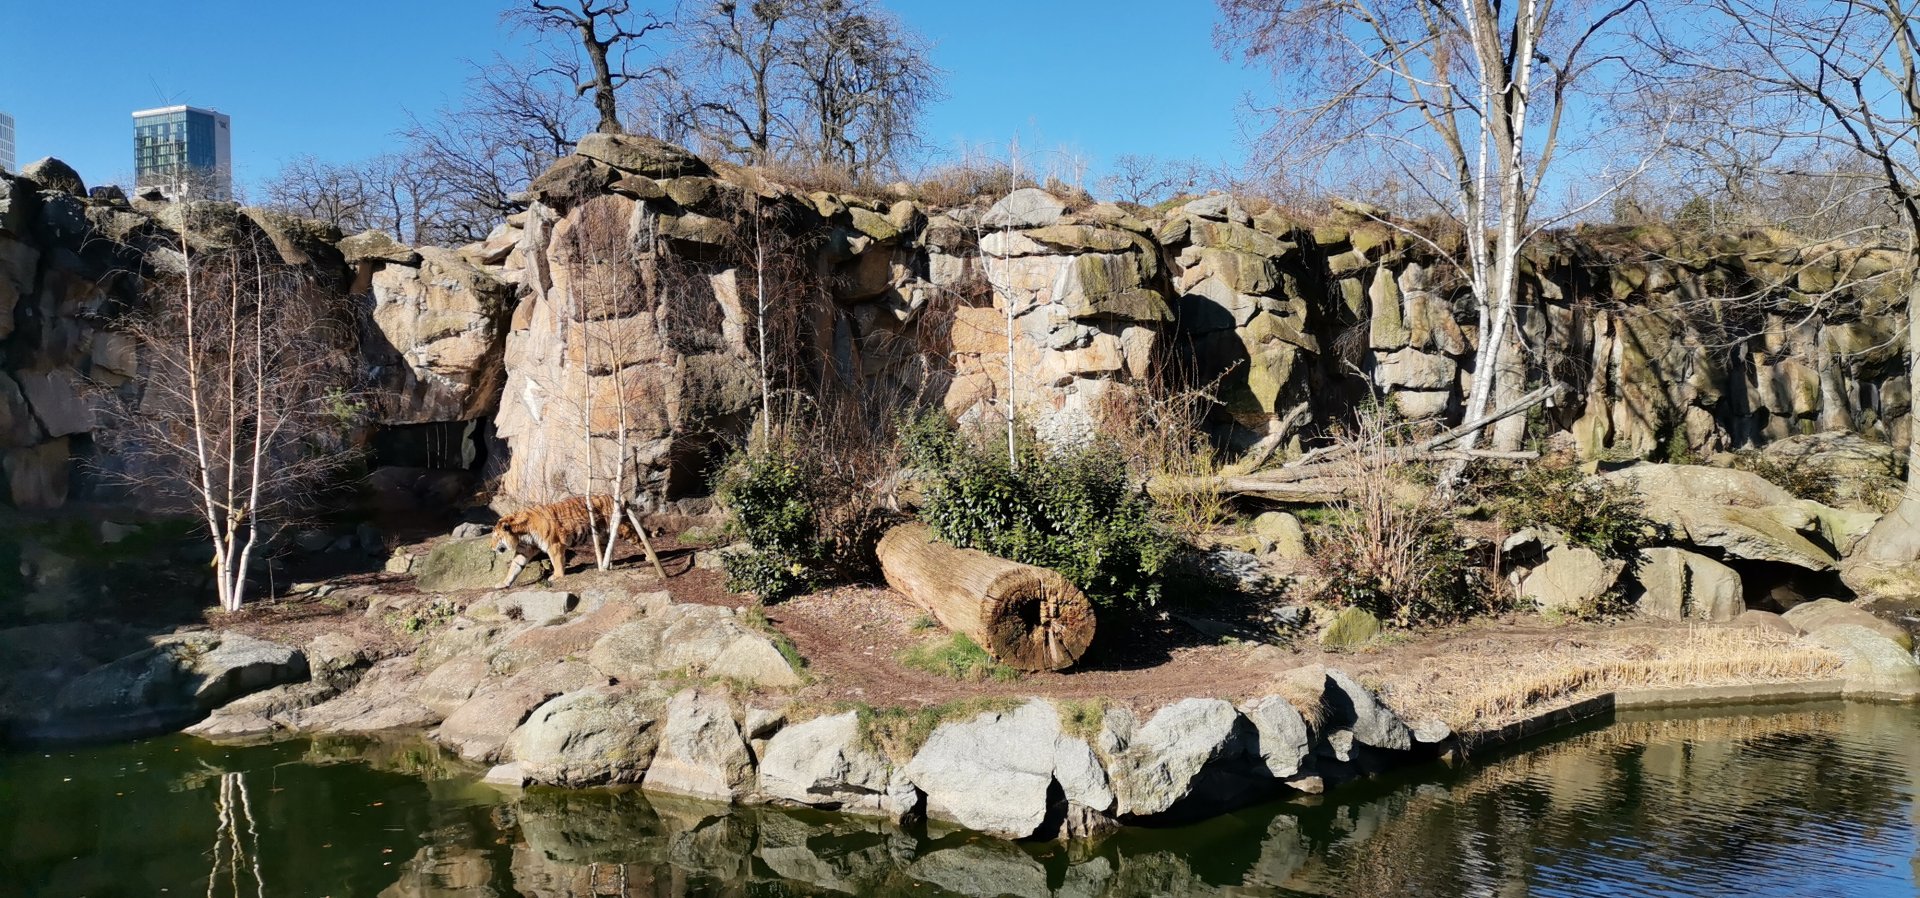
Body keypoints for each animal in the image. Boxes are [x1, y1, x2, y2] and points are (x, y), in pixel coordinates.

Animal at [490, 495, 642, 588]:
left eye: (496, 537)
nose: (491, 548)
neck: (521, 534)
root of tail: (613, 496)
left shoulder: (554, 545)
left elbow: (556, 562)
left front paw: (556, 576)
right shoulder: (524, 550)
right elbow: (514, 568)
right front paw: (504, 584)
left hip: (620, 527)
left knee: (638, 539)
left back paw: (647, 557)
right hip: (602, 535)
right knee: (607, 548)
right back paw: (605, 566)